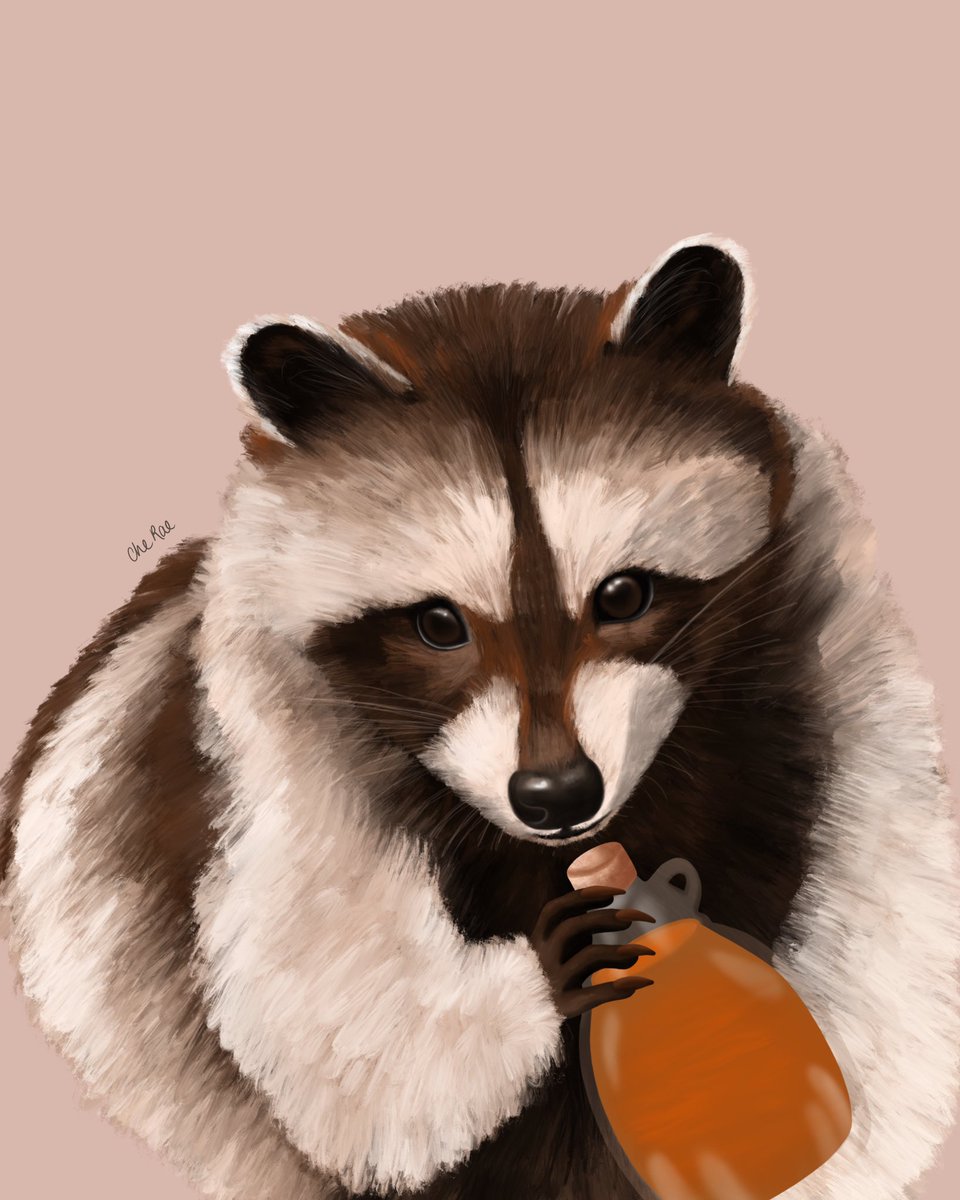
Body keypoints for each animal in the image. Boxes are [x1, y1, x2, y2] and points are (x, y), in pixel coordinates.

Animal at [1, 236, 958, 1200]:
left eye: (625, 595)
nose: (557, 795)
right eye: (437, 624)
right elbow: (335, 1042)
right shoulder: (265, 773)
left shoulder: (837, 718)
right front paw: (535, 981)